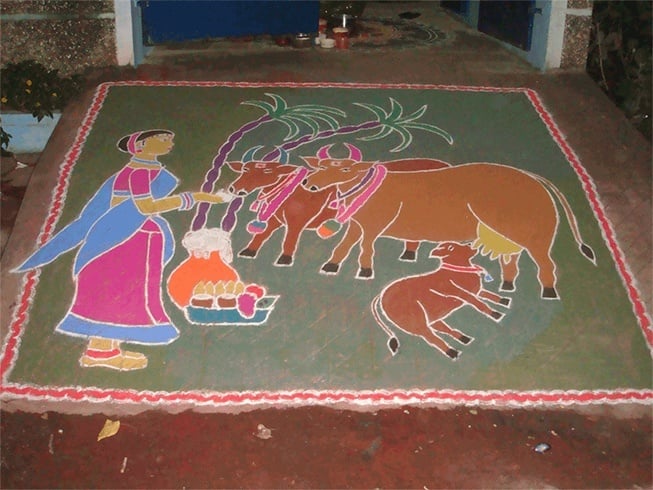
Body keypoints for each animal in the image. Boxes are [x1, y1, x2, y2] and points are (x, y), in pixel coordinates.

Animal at [228, 147, 448, 266]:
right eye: (245, 169)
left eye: (267, 171)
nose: (234, 188)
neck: (290, 189)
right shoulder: (275, 219)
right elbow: (260, 235)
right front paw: (249, 251)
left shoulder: (296, 222)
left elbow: (289, 240)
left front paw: (285, 258)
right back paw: (409, 254)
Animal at [304, 161, 592, 298]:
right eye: (321, 167)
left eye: (344, 168)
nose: (308, 182)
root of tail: (532, 178)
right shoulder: (357, 225)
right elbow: (343, 245)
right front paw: (331, 266)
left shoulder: (373, 227)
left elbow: (365, 248)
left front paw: (365, 271)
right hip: (510, 238)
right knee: (511, 262)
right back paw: (507, 286)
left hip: (535, 239)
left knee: (546, 264)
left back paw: (549, 291)